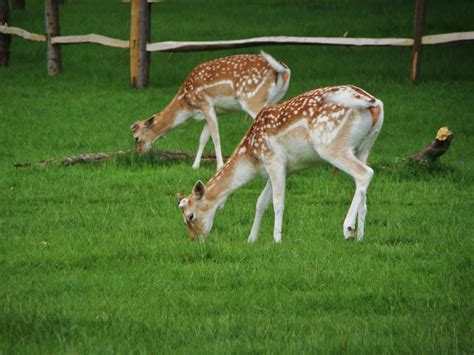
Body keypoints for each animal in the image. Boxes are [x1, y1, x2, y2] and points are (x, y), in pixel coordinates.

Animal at [131, 51, 290, 171]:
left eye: (137, 138)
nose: (138, 156)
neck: (188, 104)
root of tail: (284, 70)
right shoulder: (214, 111)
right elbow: (203, 138)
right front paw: (195, 166)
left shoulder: (206, 104)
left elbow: (215, 135)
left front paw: (219, 165)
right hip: (274, 100)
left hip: (253, 99)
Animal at [176, 85, 384, 243]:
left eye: (190, 216)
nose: (195, 239)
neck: (252, 157)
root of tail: (376, 104)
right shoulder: (285, 168)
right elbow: (261, 202)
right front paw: (251, 239)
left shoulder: (274, 160)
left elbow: (278, 202)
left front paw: (277, 240)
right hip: (365, 146)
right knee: (363, 185)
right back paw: (360, 236)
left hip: (331, 145)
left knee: (365, 173)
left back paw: (348, 228)